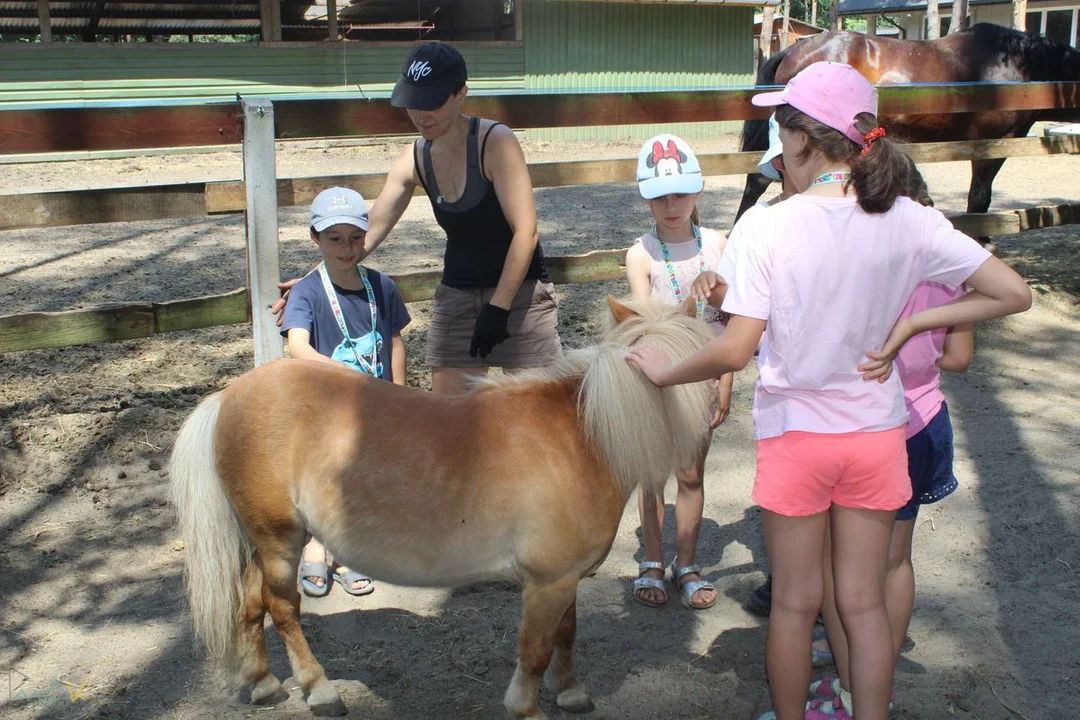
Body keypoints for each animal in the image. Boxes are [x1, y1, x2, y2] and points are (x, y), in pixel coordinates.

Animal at [168, 295, 717, 716]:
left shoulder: (565, 579)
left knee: (250, 603)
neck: (584, 434)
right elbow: (535, 651)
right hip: (281, 540)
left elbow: (567, 634)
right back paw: (319, 690)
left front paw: (571, 692)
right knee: (282, 610)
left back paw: (263, 683)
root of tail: (228, 395)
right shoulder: (547, 582)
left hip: (262, 543)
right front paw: (528, 706)